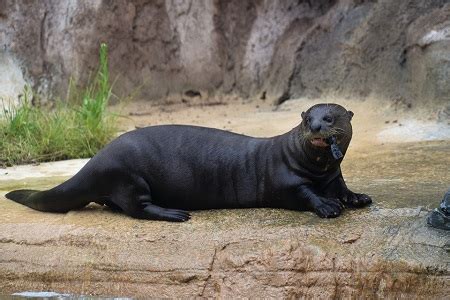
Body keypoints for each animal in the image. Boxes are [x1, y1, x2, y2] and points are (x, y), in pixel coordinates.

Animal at [6, 104, 372, 221]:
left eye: (328, 117)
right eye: (307, 119)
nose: (315, 127)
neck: (316, 169)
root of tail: (96, 159)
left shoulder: (334, 176)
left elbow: (344, 188)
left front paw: (358, 198)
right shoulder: (287, 180)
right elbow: (305, 194)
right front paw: (326, 206)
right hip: (128, 176)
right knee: (138, 208)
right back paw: (175, 213)